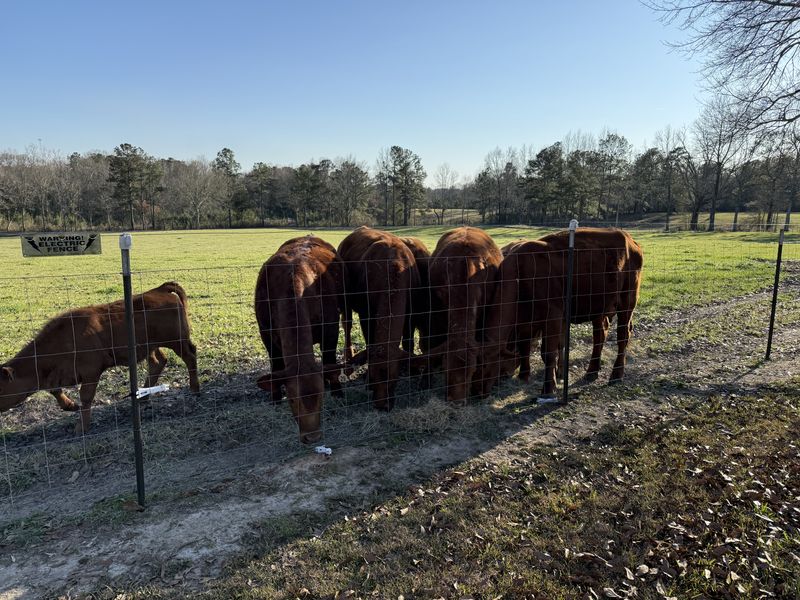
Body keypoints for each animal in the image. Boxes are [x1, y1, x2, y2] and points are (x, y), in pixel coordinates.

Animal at [0, 282, 199, 434]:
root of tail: (159, 289)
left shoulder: (91, 371)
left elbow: (86, 396)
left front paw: (81, 426)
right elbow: (55, 391)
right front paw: (71, 406)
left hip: (177, 341)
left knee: (189, 356)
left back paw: (194, 388)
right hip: (149, 346)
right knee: (158, 362)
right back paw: (143, 395)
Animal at [254, 235, 346, 444]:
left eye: (321, 397)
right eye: (292, 399)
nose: (312, 437)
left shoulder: (331, 329)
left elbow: (329, 360)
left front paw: (336, 390)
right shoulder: (266, 334)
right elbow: (276, 366)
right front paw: (275, 398)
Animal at [338, 227, 420, 410]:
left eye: (393, 381)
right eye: (374, 381)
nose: (382, 406)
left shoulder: (410, 312)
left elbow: (408, 341)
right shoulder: (365, 314)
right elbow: (369, 341)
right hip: (345, 300)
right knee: (347, 325)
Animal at [480, 228, 643, 398]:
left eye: (483, 365)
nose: (477, 392)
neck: (521, 273)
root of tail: (630, 239)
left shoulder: (553, 316)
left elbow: (549, 352)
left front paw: (548, 387)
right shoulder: (527, 321)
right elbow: (527, 346)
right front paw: (524, 375)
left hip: (627, 301)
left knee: (623, 335)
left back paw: (616, 375)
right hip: (599, 307)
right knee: (600, 335)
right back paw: (591, 371)